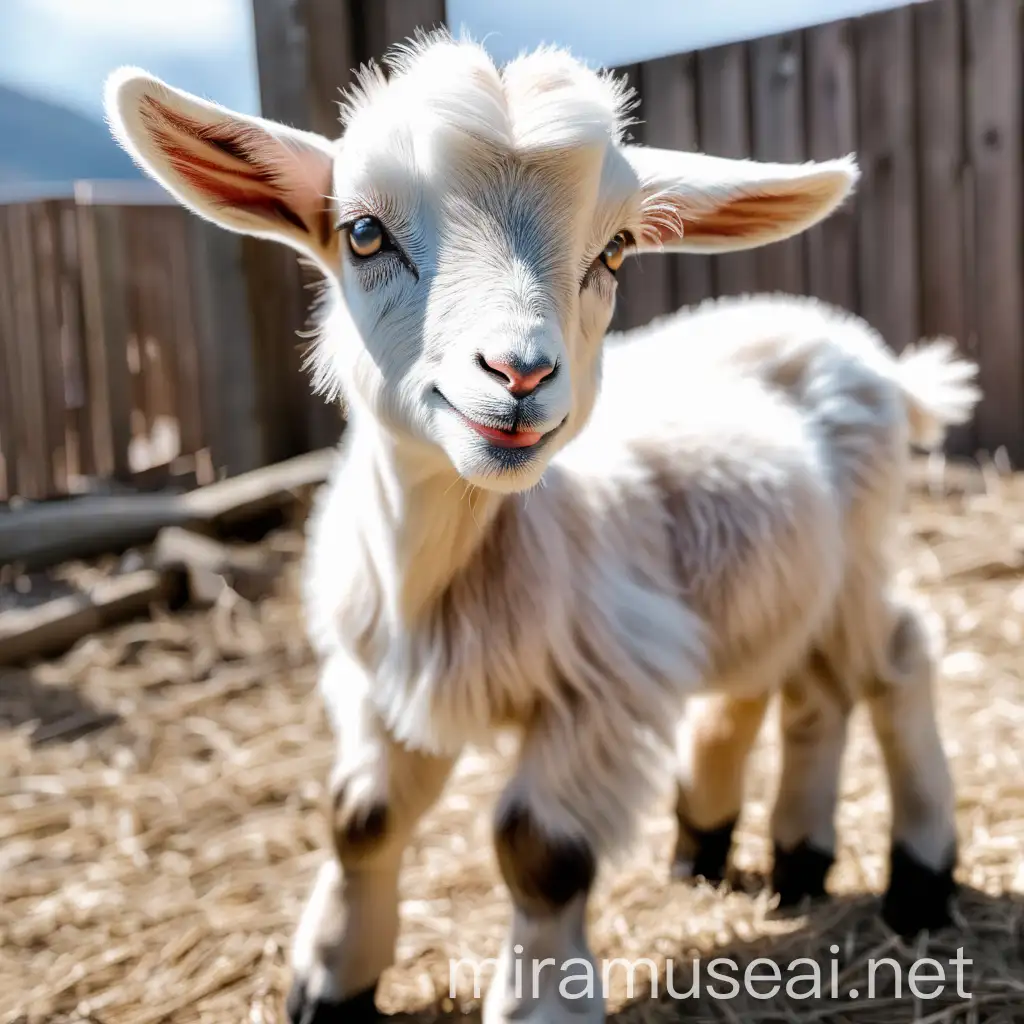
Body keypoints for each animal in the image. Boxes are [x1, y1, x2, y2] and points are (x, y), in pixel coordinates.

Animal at [103, 32, 974, 1024]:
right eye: (363, 233)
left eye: (618, 249)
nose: (518, 375)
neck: (446, 566)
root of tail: (876, 361)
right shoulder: (378, 678)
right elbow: (358, 821)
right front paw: (330, 979)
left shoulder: (601, 684)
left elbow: (538, 852)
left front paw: (540, 998)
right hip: (774, 575)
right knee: (791, 688)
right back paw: (765, 857)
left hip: (857, 554)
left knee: (894, 658)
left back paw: (916, 878)